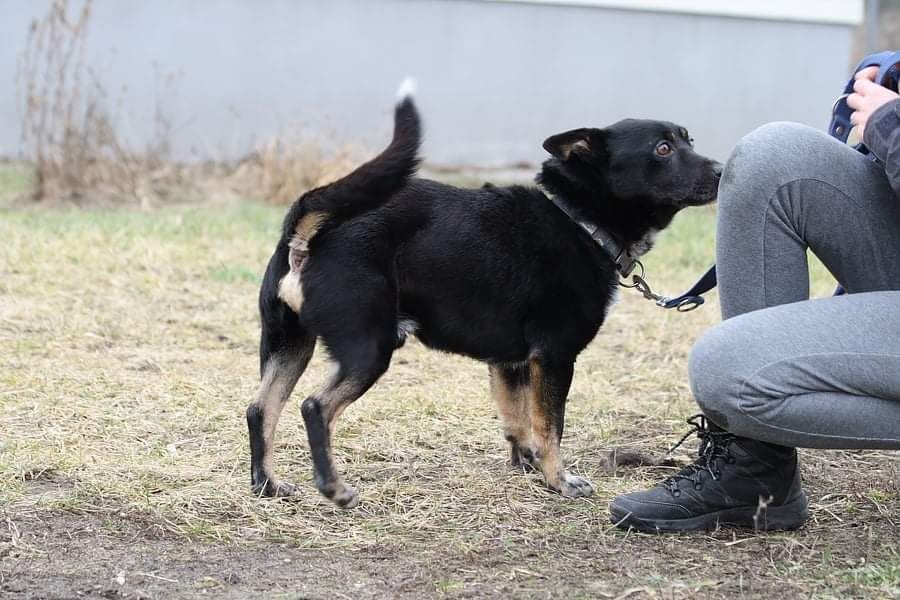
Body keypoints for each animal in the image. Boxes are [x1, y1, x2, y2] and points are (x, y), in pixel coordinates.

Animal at [248, 85, 724, 506]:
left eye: (688, 140)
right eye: (662, 149)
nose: (723, 170)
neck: (578, 220)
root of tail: (308, 230)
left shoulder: (510, 363)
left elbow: (518, 420)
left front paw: (527, 465)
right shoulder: (555, 356)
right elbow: (551, 426)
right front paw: (559, 482)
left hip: (290, 344)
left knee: (260, 409)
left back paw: (267, 485)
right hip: (369, 347)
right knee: (315, 407)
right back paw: (334, 488)